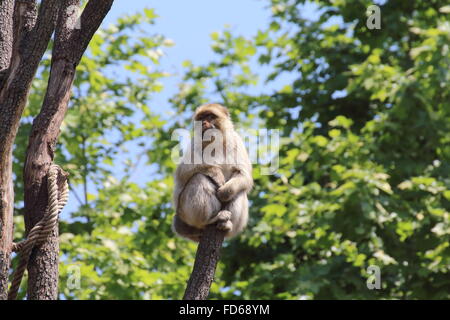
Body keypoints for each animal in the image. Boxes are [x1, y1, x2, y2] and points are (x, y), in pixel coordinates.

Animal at [172, 104, 253, 241]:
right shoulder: (195, 142)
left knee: (240, 191)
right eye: (201, 118)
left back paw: (227, 226)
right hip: (184, 213)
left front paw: (224, 192)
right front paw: (216, 173)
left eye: (210, 116)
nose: (204, 123)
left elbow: (243, 175)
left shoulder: (236, 140)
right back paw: (210, 220)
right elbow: (182, 172)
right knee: (199, 178)